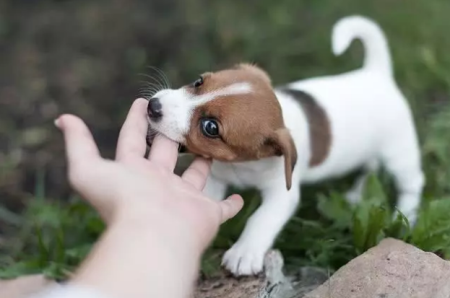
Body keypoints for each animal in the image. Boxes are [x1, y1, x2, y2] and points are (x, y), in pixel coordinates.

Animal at [146, 15, 424, 278]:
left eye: (210, 127)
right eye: (198, 82)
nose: (153, 106)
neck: (242, 165)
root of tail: (376, 73)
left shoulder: (282, 193)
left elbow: (260, 219)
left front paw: (245, 252)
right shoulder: (215, 177)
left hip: (398, 152)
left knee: (412, 182)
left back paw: (405, 214)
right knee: (370, 165)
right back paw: (358, 193)